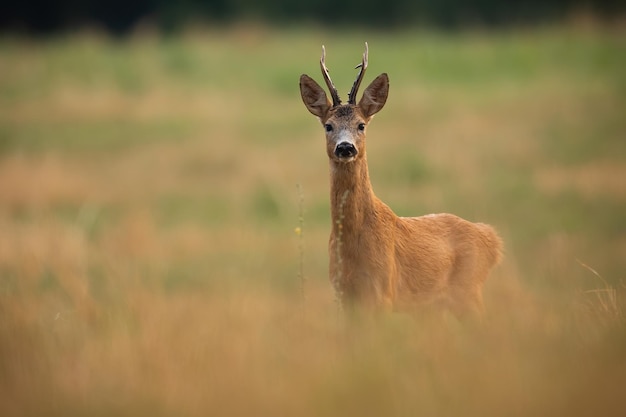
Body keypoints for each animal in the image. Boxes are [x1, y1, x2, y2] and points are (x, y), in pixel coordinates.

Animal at [298, 43, 502, 316]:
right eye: (328, 126)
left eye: (361, 125)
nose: (345, 147)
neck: (353, 242)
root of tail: (491, 238)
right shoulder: (343, 294)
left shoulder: (385, 291)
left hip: (468, 292)